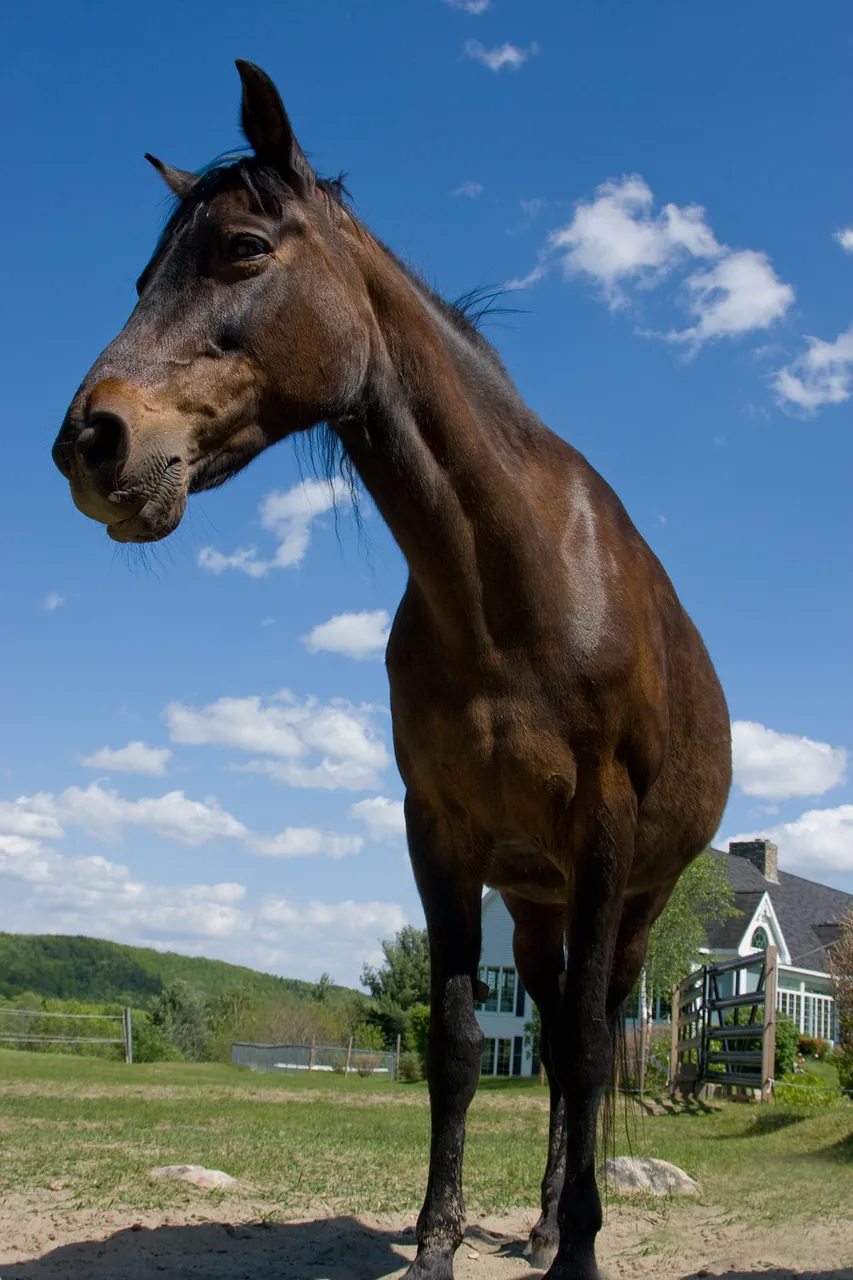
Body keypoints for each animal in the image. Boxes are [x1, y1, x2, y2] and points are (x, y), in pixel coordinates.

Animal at [52, 61, 731, 1280]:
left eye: (240, 247)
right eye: (142, 274)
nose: (92, 443)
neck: (509, 585)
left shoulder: (604, 836)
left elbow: (592, 1052)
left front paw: (581, 1255)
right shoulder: (439, 831)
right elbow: (460, 1044)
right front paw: (436, 1244)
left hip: (635, 899)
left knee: (592, 1035)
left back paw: (567, 1226)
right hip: (536, 901)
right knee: (548, 1040)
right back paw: (543, 1216)